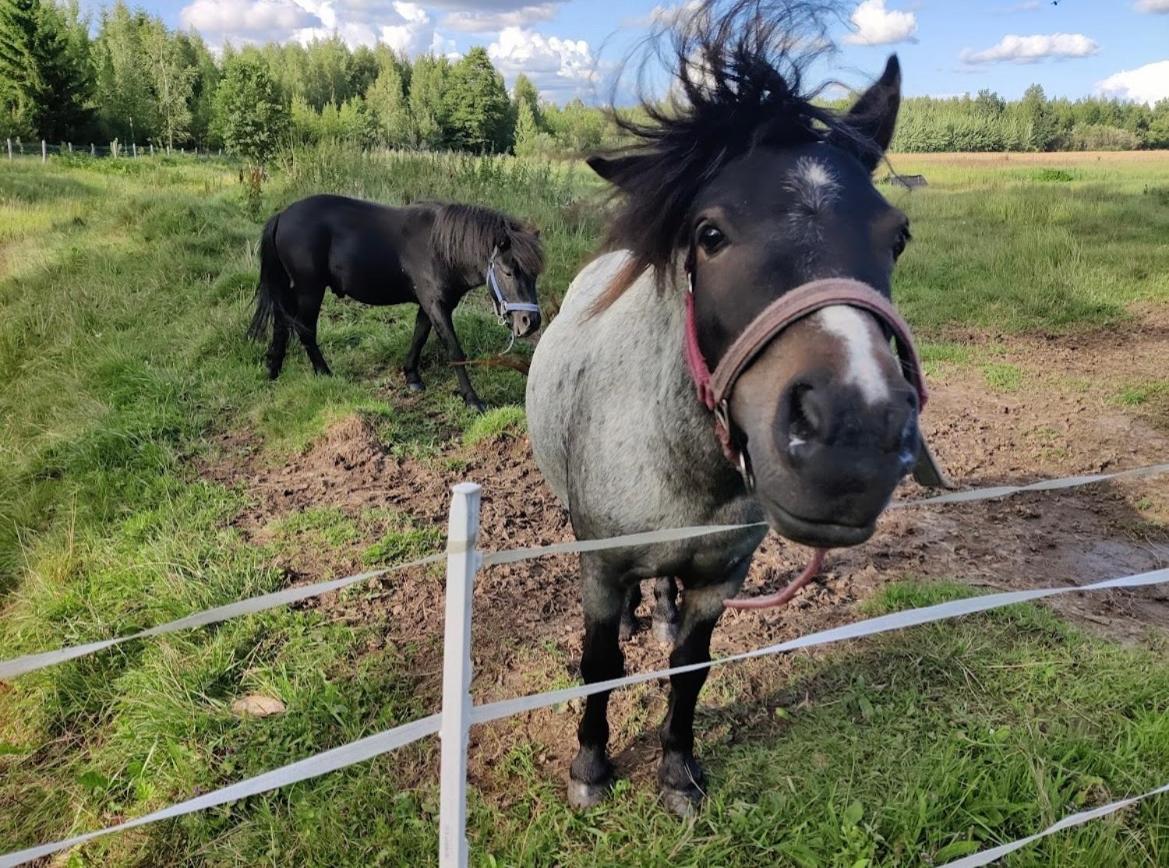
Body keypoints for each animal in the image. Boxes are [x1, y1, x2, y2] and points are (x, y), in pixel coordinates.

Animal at [247, 193, 547, 411]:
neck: (439, 247)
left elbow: (419, 336)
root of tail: (282, 216)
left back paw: (274, 370)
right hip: (310, 290)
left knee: (282, 325)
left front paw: (412, 376)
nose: (530, 322)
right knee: (305, 329)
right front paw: (472, 399)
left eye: (534, 274)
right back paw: (324, 373)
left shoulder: (430, 305)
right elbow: (454, 350)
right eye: (508, 271)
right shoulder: (436, 305)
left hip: (290, 289)